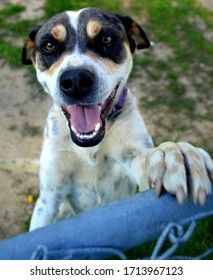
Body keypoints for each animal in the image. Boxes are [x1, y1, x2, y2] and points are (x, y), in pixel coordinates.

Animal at [22, 7, 213, 231]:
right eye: (49, 45)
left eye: (106, 39)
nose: (76, 81)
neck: (89, 148)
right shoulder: (49, 197)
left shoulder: (131, 161)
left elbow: (150, 158)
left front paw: (177, 155)